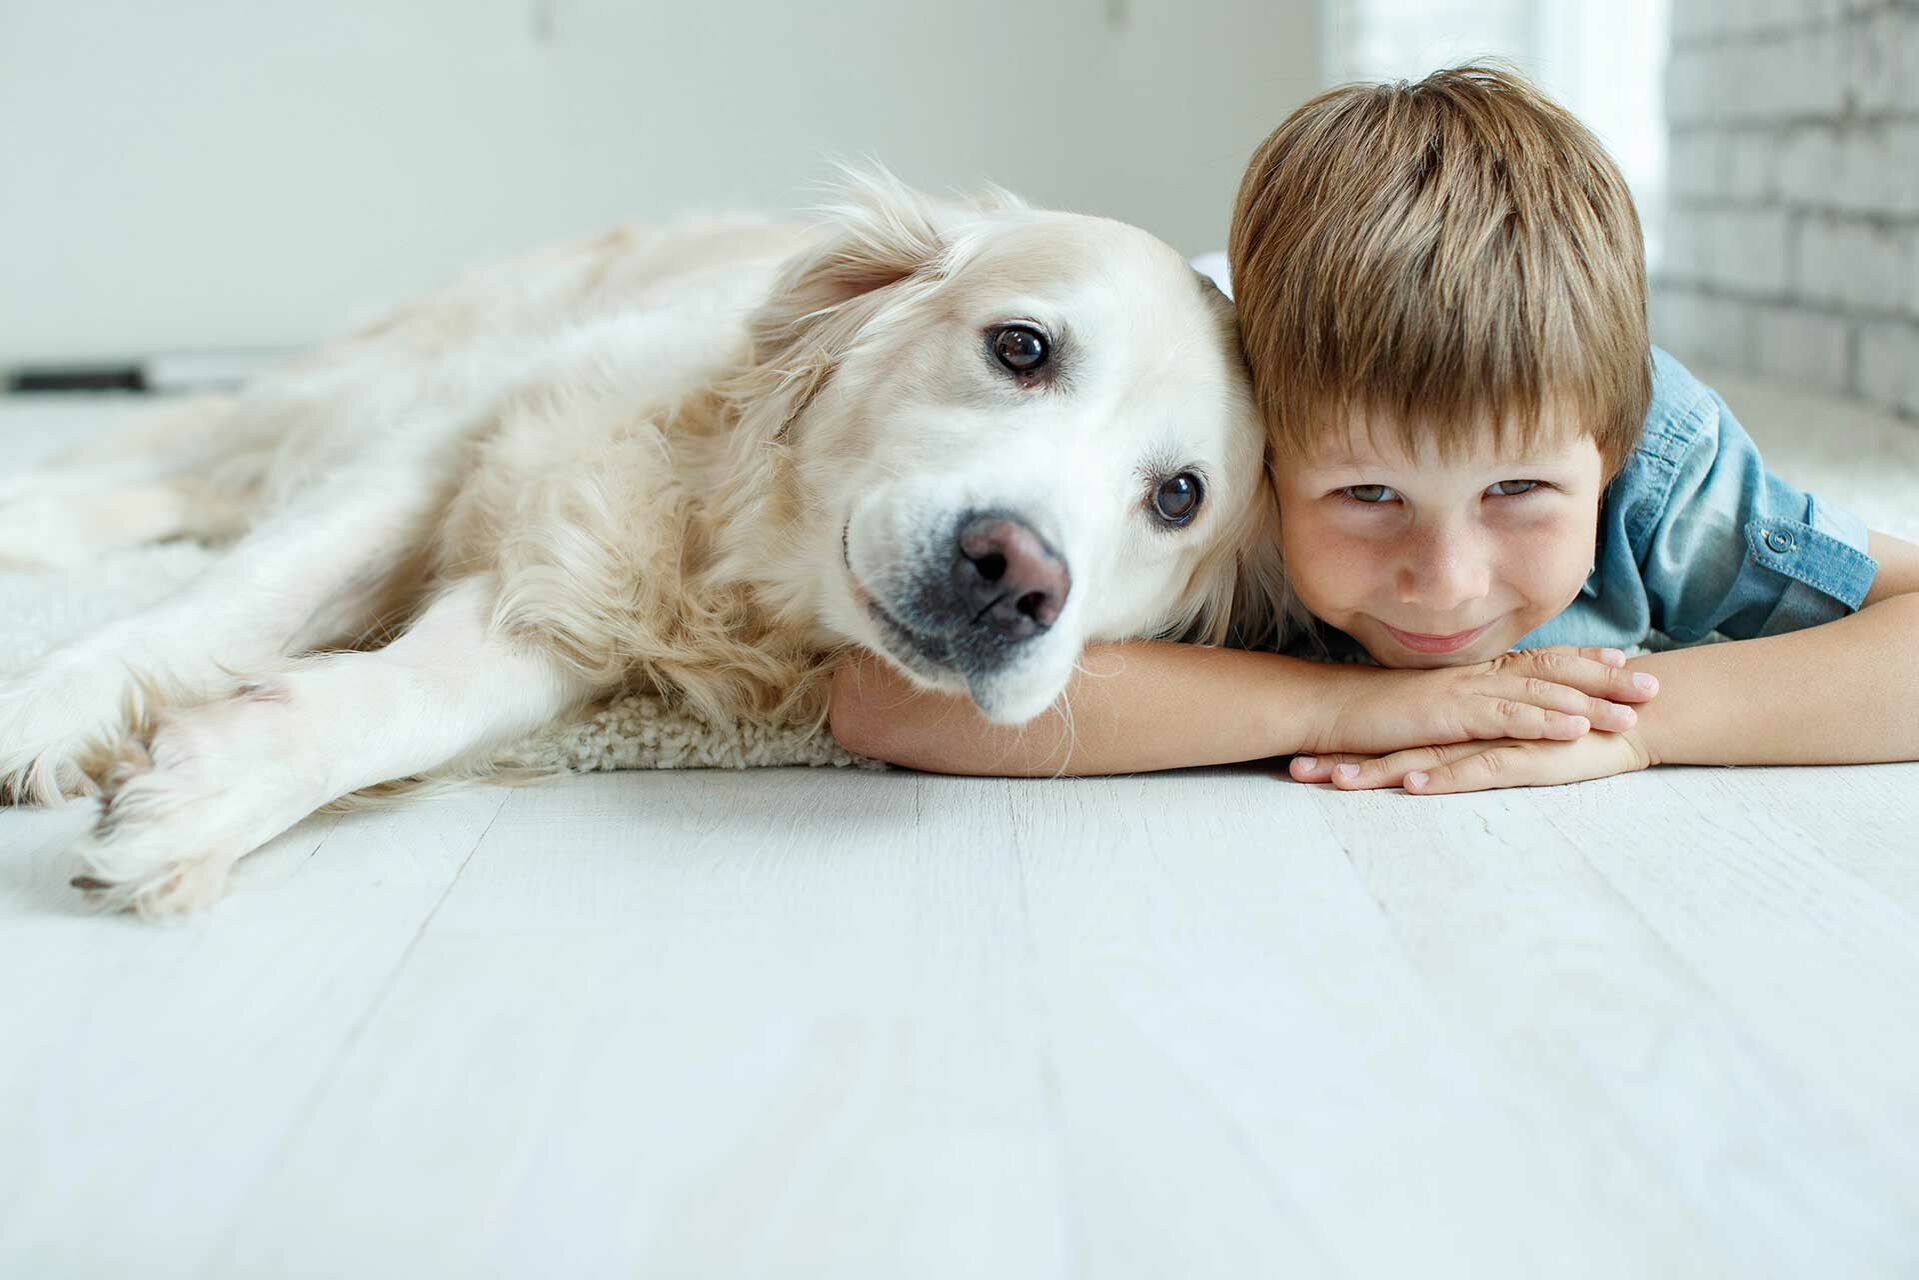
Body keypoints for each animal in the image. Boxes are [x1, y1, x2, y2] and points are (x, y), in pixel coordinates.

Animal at [3, 172, 1289, 909]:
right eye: (1019, 346)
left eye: (1177, 496)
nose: (1014, 578)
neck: (735, 543)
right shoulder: (447, 448)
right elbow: (223, 603)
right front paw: (42, 709)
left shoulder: (557, 607)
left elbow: (410, 701)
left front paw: (214, 786)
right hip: (376, 381)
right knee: (177, 455)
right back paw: (33, 513)